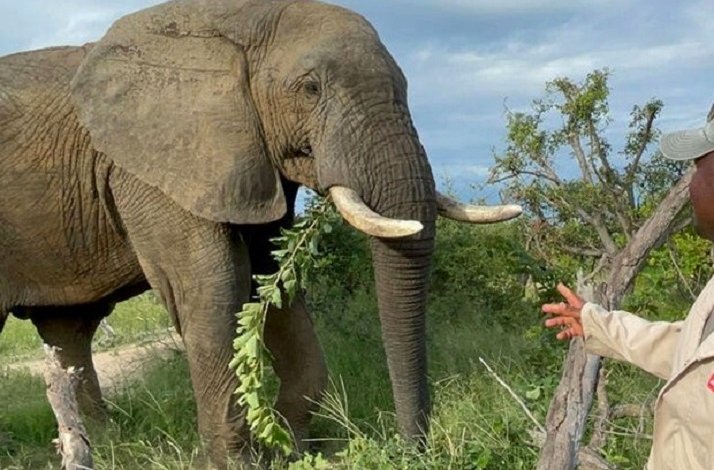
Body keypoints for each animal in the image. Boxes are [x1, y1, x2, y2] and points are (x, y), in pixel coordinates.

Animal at [0, 0, 521, 465]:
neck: (237, 19)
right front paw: (240, 462)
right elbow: (214, 288)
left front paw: (292, 449)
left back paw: (107, 445)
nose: (414, 451)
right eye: (310, 88)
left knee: (69, 333)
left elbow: (270, 281)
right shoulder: (150, 168)